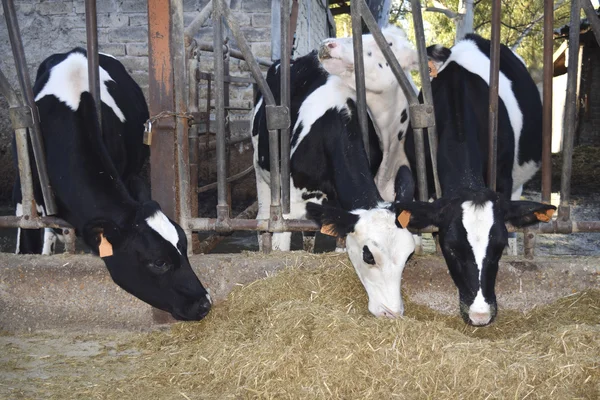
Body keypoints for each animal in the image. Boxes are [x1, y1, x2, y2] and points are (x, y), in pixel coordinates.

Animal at [251, 49, 414, 318]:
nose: (392, 312)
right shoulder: (292, 201)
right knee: (263, 214)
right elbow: (283, 243)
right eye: (369, 256)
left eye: (408, 256)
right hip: (260, 168)